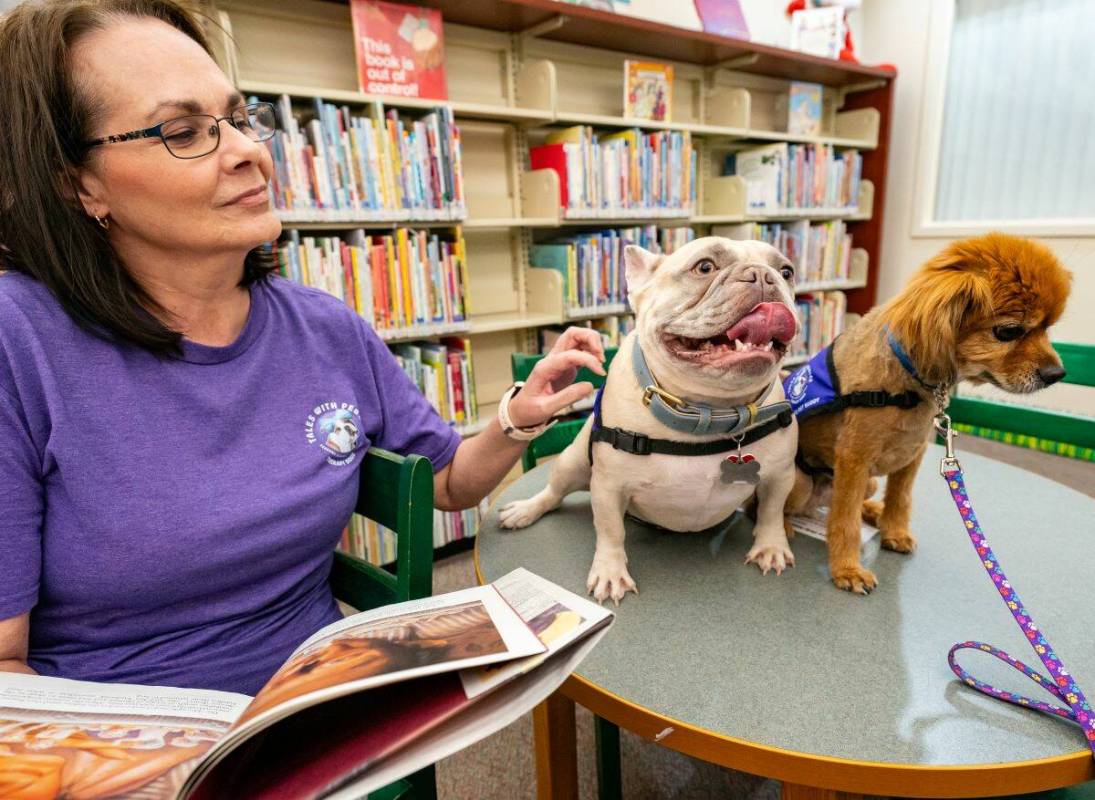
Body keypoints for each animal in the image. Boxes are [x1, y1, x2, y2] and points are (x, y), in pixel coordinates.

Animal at [784, 232, 1073, 595]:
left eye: (1048, 328)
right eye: (1008, 331)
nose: (1057, 374)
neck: (909, 380)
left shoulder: (912, 455)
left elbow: (900, 499)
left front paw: (893, 531)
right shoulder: (853, 458)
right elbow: (845, 520)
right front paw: (847, 568)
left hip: (868, 482)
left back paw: (872, 510)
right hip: (801, 482)